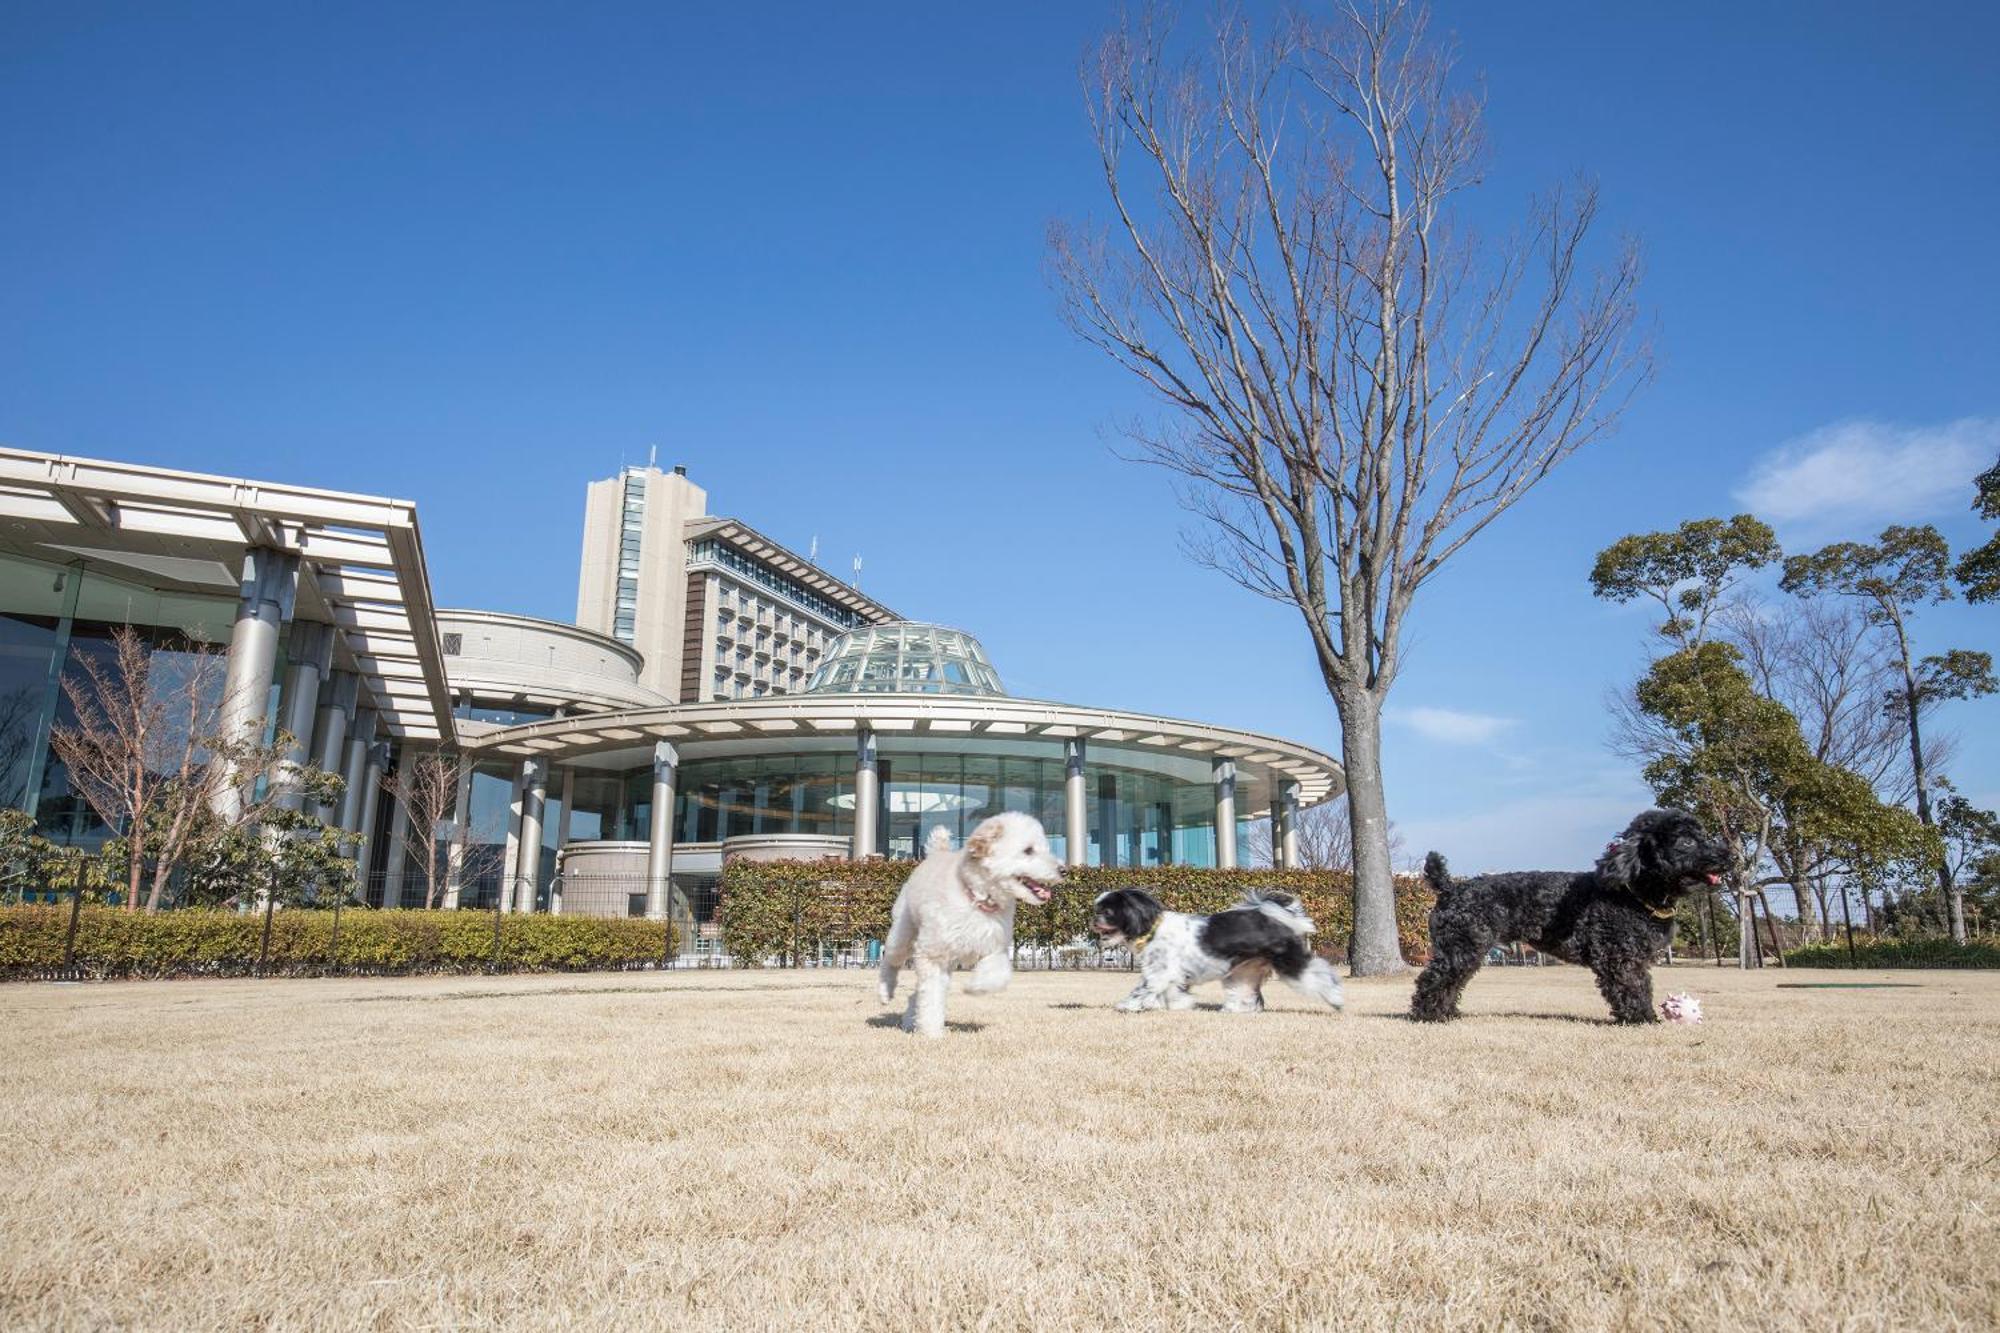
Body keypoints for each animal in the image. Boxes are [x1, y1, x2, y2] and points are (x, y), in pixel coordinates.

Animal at [876, 808, 1064, 1040]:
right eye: (1028, 850)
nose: (1063, 870)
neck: (977, 900)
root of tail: (936, 854)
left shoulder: (994, 947)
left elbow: (998, 976)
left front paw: (975, 987)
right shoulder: (933, 955)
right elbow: (932, 997)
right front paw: (932, 1033)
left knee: (916, 994)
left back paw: (911, 1020)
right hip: (904, 933)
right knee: (891, 960)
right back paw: (885, 992)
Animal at [1088, 888, 1352, 1012]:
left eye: (1107, 912)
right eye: (1097, 910)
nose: (1094, 919)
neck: (1152, 928)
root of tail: (1275, 916)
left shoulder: (1159, 972)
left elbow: (1143, 988)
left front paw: (1127, 1005)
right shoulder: (1172, 974)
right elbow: (1171, 992)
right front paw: (1177, 1005)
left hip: (1290, 963)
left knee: (1319, 974)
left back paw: (1337, 999)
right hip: (1242, 973)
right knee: (1244, 992)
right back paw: (1235, 1009)